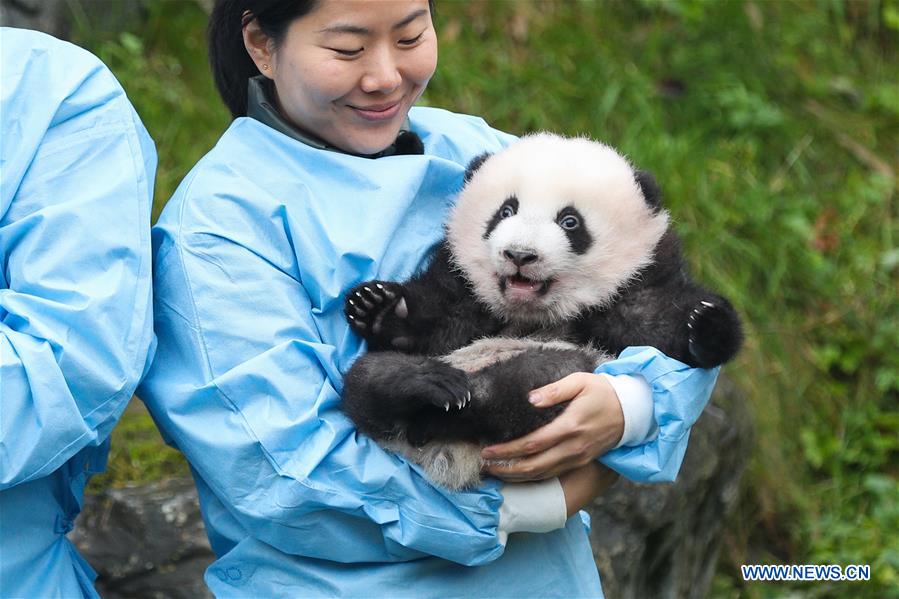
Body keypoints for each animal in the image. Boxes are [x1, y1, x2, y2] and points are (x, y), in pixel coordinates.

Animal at [341, 133, 742, 490]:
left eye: (570, 221)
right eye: (505, 211)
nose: (520, 254)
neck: (533, 314)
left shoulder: (636, 280)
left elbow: (659, 323)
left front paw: (708, 325)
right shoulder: (462, 282)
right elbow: (440, 321)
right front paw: (378, 307)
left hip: (567, 382)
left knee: (536, 381)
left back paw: (445, 410)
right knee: (366, 380)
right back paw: (423, 385)